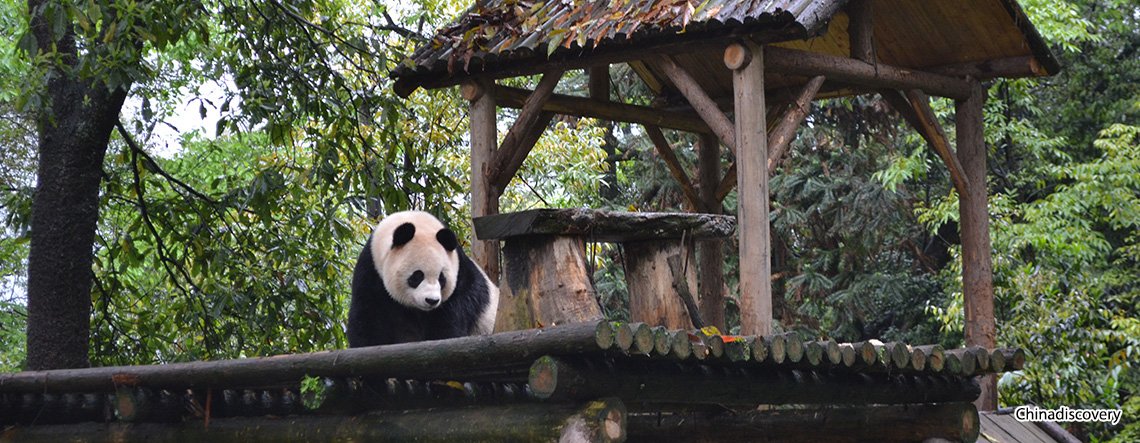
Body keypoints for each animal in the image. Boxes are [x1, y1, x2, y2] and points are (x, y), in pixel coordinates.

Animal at [346, 208, 499, 346]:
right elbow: (368, 317)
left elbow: (451, 318)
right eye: (417, 276)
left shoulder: (462, 279)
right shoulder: (372, 270)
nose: (431, 300)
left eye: (441, 278)